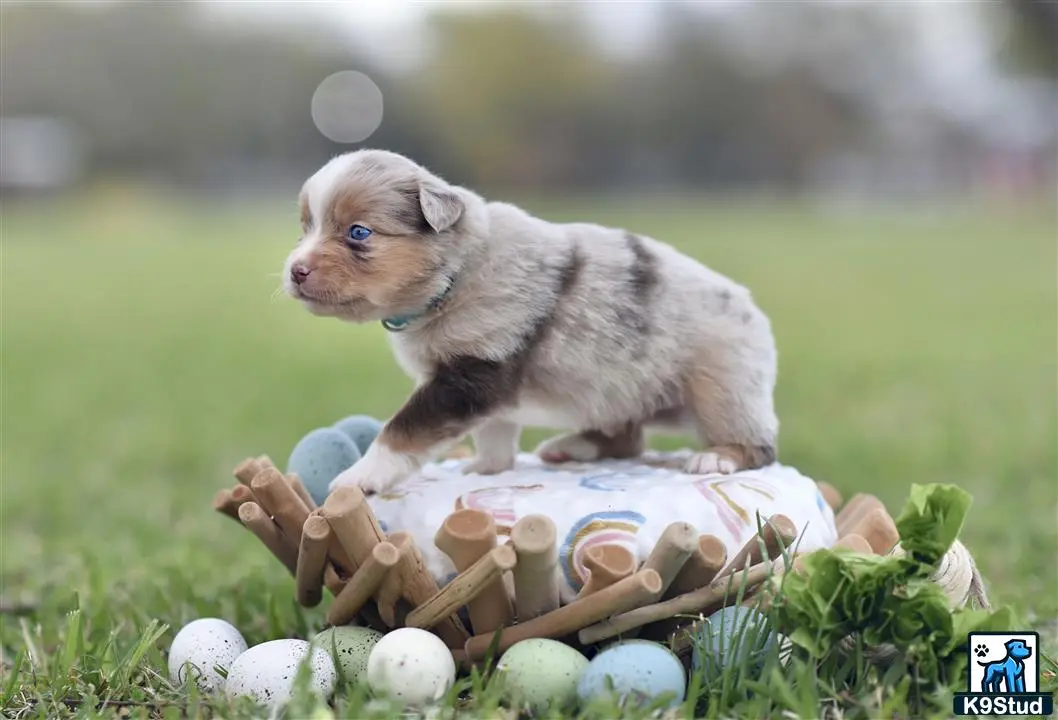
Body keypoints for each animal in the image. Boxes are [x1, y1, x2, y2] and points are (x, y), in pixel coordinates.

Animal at [283, 148, 778, 490]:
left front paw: (358, 477)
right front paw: (485, 469)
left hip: (721, 384)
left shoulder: (470, 372)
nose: (295, 271)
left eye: (358, 232)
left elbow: (403, 428)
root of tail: (754, 308)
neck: (455, 275)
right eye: (306, 227)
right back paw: (571, 446)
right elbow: (495, 432)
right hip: (617, 386)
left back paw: (718, 458)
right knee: (628, 439)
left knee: (760, 445)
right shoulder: (482, 381)